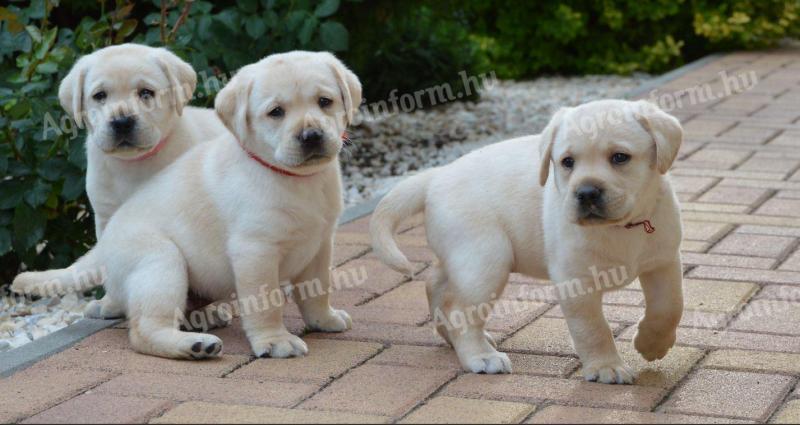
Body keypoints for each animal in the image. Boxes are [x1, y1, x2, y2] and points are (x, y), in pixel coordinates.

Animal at [72, 50, 360, 358]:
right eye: (276, 112)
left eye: (325, 101)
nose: (311, 136)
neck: (294, 179)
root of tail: (104, 244)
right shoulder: (255, 250)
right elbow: (266, 301)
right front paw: (275, 340)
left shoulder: (320, 244)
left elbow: (319, 289)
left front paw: (324, 319)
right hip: (160, 262)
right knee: (143, 331)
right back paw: (195, 346)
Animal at [372, 99, 684, 384]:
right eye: (567, 162)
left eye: (620, 157)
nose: (586, 193)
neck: (623, 226)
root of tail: (437, 176)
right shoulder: (575, 281)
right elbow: (593, 328)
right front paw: (606, 367)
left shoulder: (663, 262)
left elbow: (669, 307)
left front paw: (652, 344)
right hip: (485, 261)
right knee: (459, 310)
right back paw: (480, 356)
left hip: (460, 255)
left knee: (435, 285)